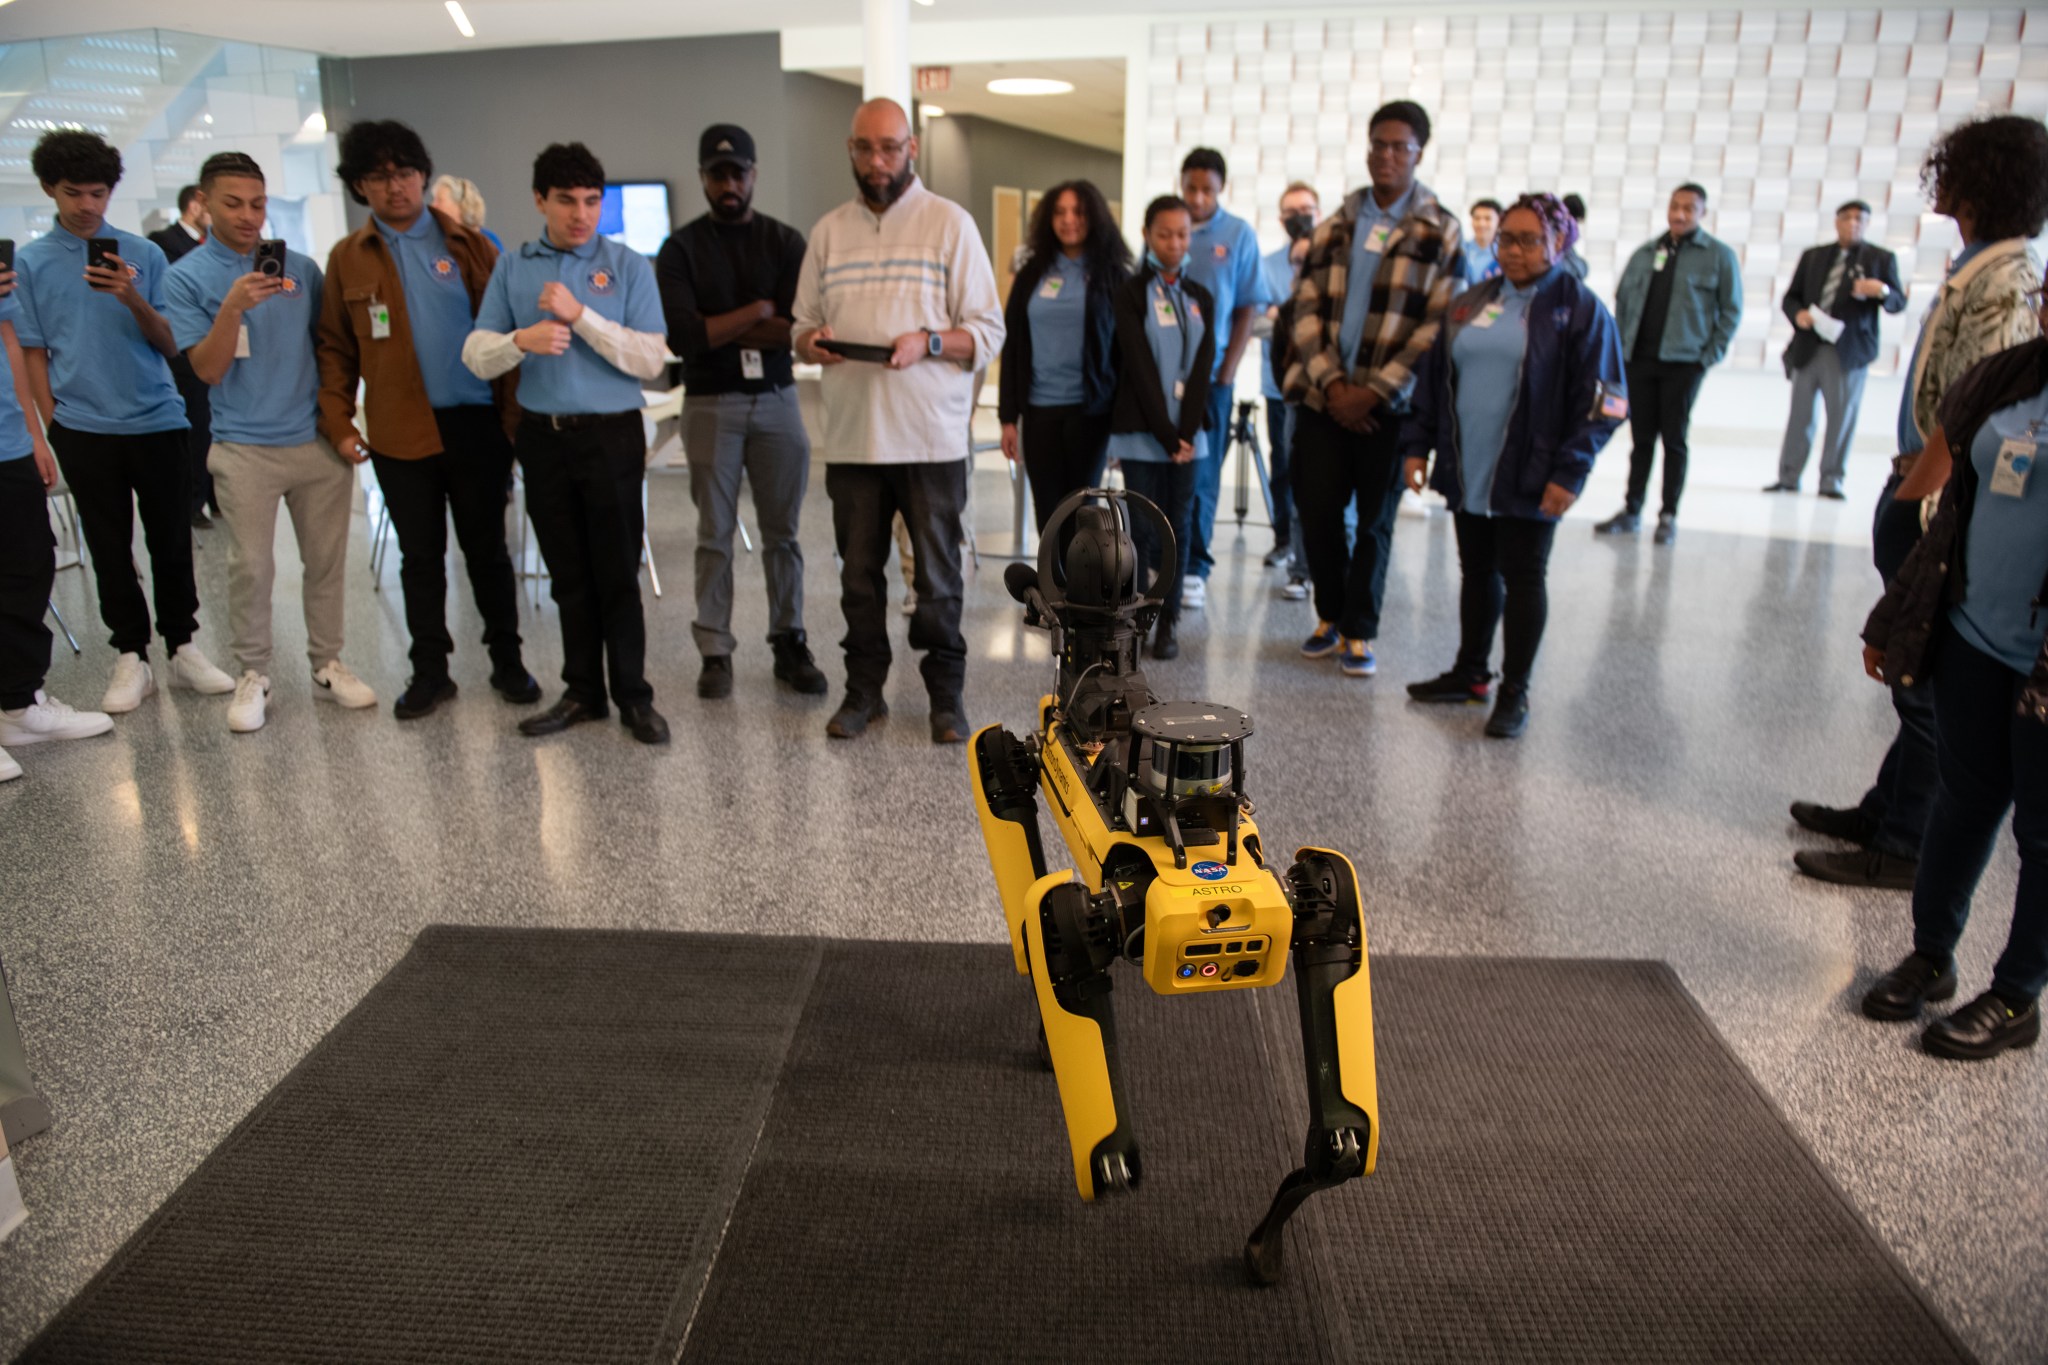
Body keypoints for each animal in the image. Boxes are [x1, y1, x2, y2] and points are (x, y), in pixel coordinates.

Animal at [970, 491, 1384, 1293]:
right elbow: (1046, 922)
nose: (1220, 925)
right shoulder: (1076, 886)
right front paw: (1112, 1158)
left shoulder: (1318, 890)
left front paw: (1314, 1180)